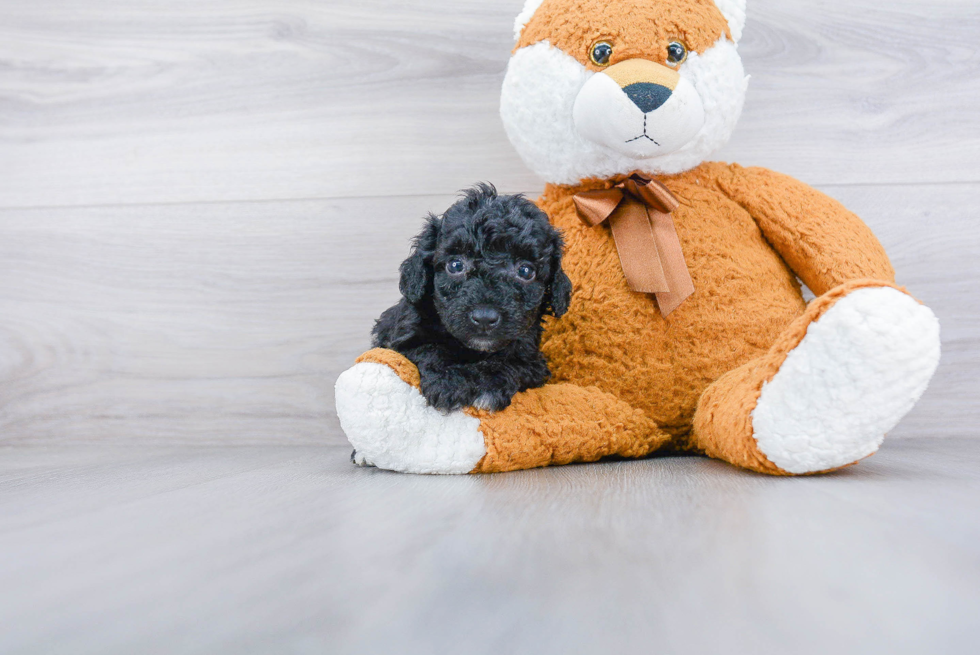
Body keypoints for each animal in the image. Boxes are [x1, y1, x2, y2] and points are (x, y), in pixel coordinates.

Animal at [376, 182, 576, 412]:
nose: (484, 318)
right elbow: (430, 349)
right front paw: (448, 382)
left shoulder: (532, 362)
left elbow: (509, 364)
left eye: (525, 271)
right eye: (455, 265)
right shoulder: (403, 340)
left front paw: (485, 387)